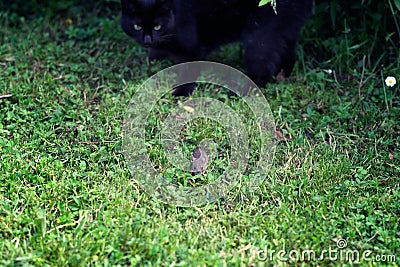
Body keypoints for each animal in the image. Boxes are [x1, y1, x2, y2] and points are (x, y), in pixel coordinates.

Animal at [120, 0, 314, 96]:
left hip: (259, 39)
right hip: (284, 31)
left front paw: (181, 93)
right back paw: (284, 74)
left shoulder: (193, 49)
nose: (147, 39)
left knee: (263, 70)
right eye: (137, 26)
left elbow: (189, 70)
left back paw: (239, 93)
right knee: (288, 53)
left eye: (157, 26)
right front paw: (154, 56)